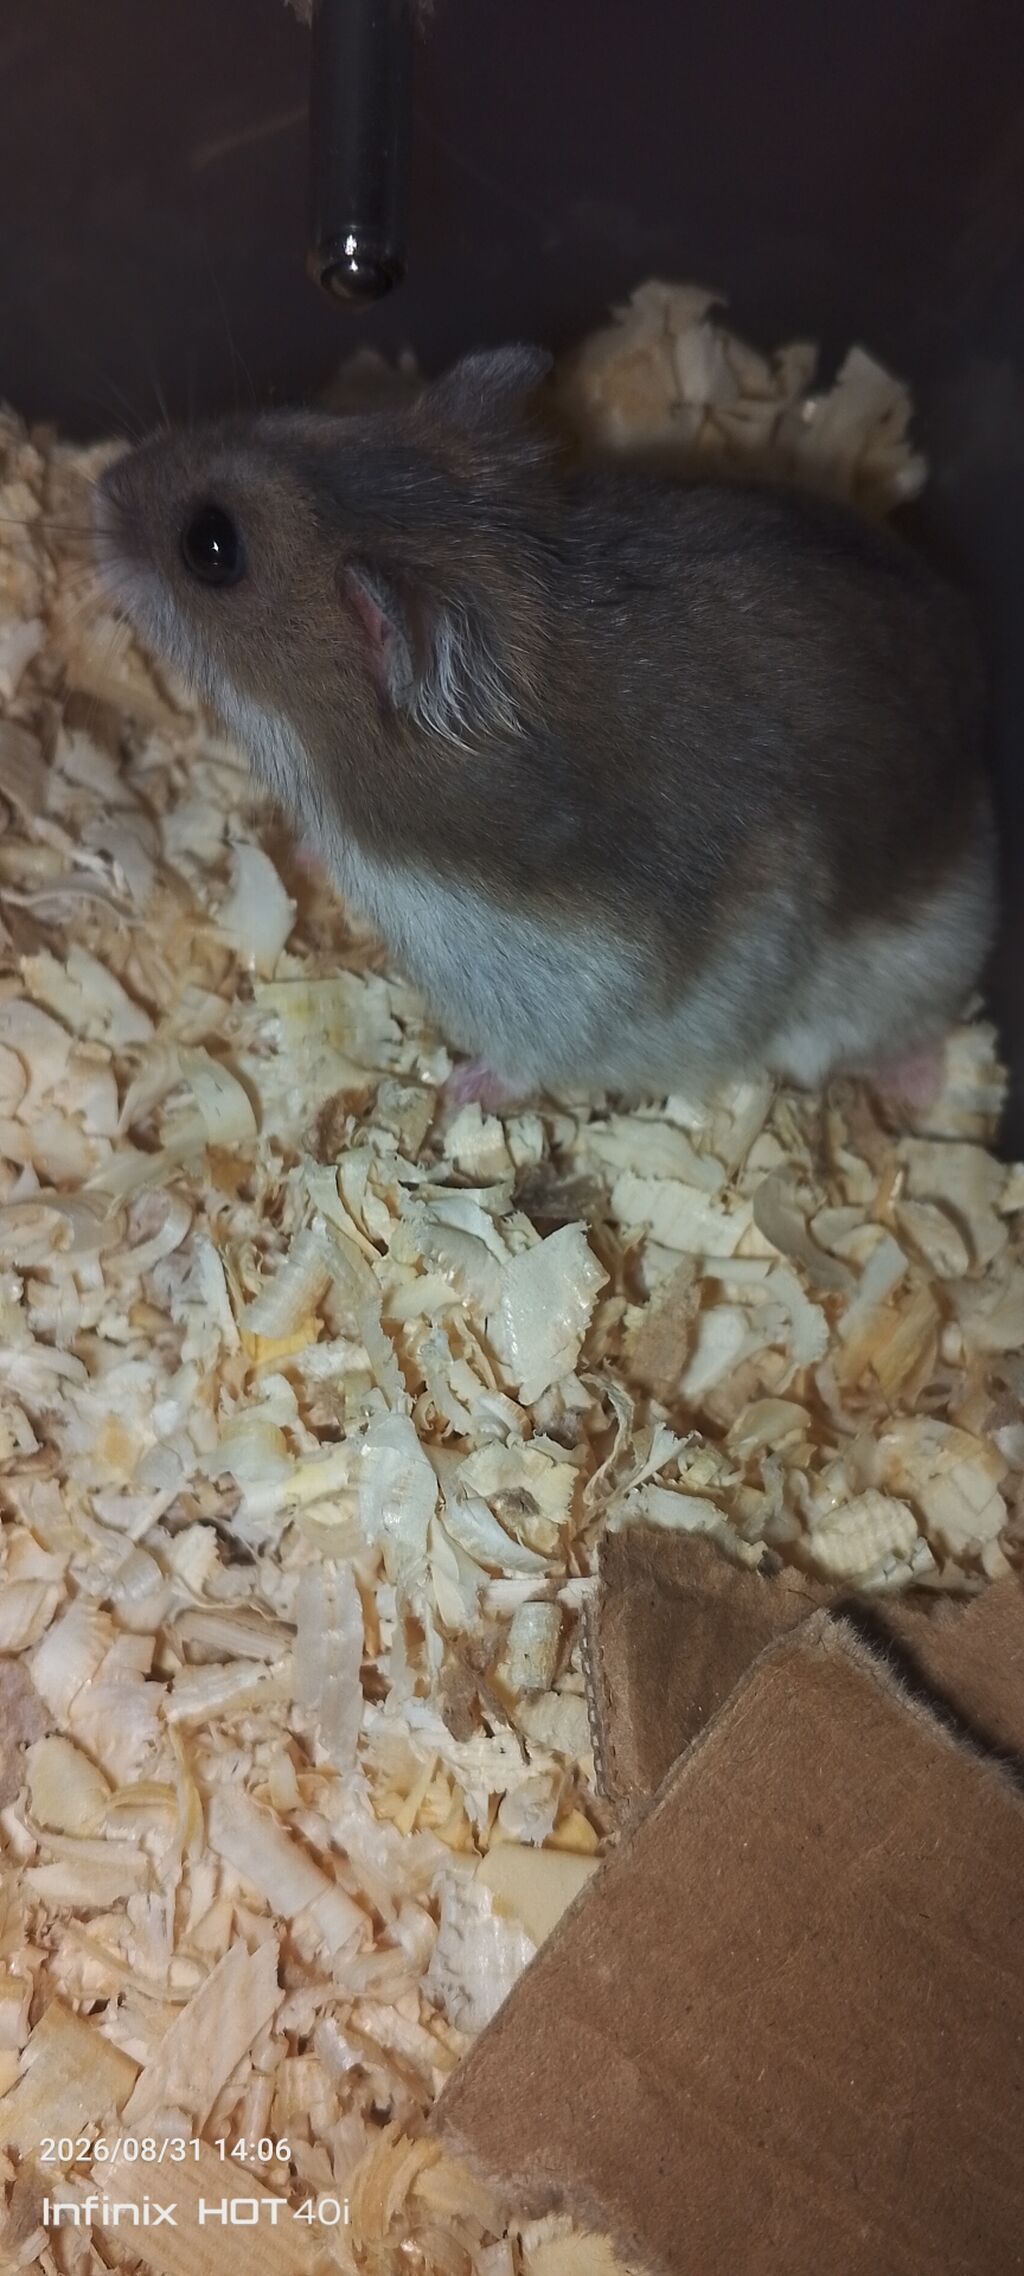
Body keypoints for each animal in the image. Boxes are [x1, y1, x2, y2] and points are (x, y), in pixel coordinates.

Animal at [92, 344, 996, 1113]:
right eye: (294, 409)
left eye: (211, 545)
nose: (100, 482)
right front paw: (299, 854)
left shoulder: (574, 993)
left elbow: (523, 1063)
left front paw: (454, 1097)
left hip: (909, 973)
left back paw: (923, 1093)